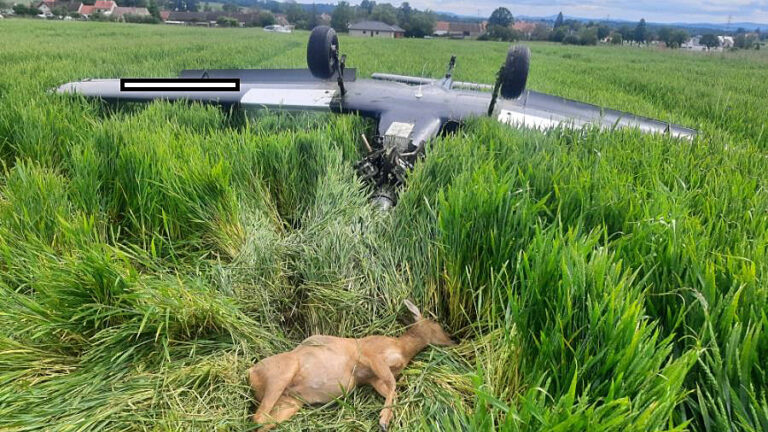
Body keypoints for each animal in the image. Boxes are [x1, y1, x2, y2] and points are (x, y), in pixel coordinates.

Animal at [248, 300, 456, 432]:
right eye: (437, 325)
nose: (454, 341)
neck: (402, 349)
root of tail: (250, 373)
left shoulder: (373, 378)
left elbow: (391, 389)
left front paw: (385, 420)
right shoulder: (371, 354)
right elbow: (393, 385)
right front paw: (383, 421)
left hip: (290, 403)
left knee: (262, 422)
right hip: (283, 372)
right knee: (257, 417)